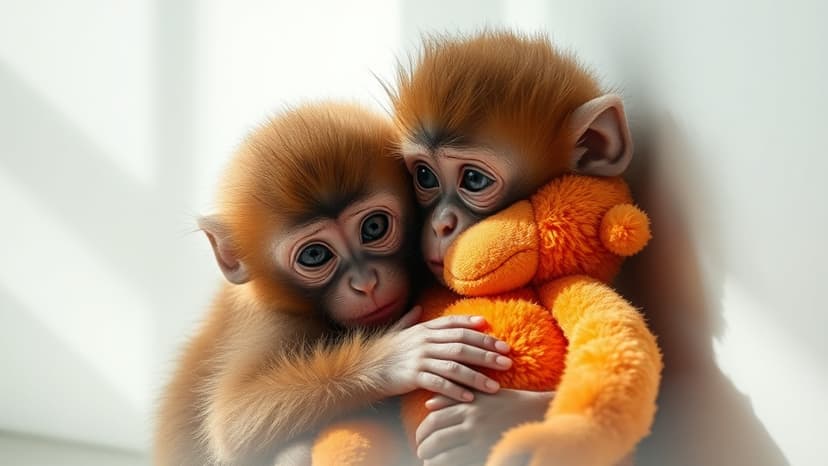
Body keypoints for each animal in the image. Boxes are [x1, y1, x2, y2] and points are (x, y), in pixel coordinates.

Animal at [153, 102, 515, 466]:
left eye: (374, 227)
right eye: (315, 254)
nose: (365, 284)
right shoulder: (273, 323)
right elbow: (232, 421)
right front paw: (397, 357)